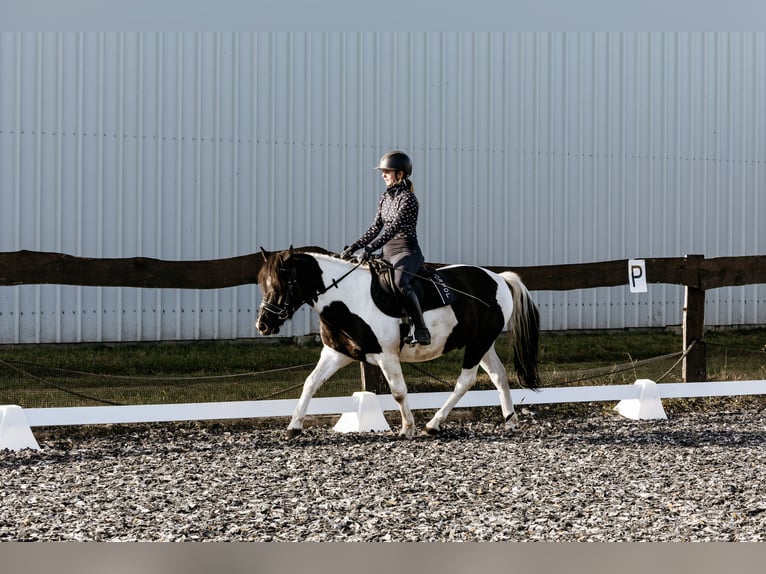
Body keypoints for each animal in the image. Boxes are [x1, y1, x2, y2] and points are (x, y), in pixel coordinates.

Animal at [256, 245, 540, 438]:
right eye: (263, 284)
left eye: (283, 284)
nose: (263, 325)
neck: (347, 297)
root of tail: (499, 278)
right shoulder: (336, 354)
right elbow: (311, 383)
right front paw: (293, 427)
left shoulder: (386, 355)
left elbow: (398, 392)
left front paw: (407, 428)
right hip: (483, 344)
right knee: (499, 376)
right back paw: (510, 420)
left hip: (478, 344)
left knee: (466, 380)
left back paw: (432, 425)